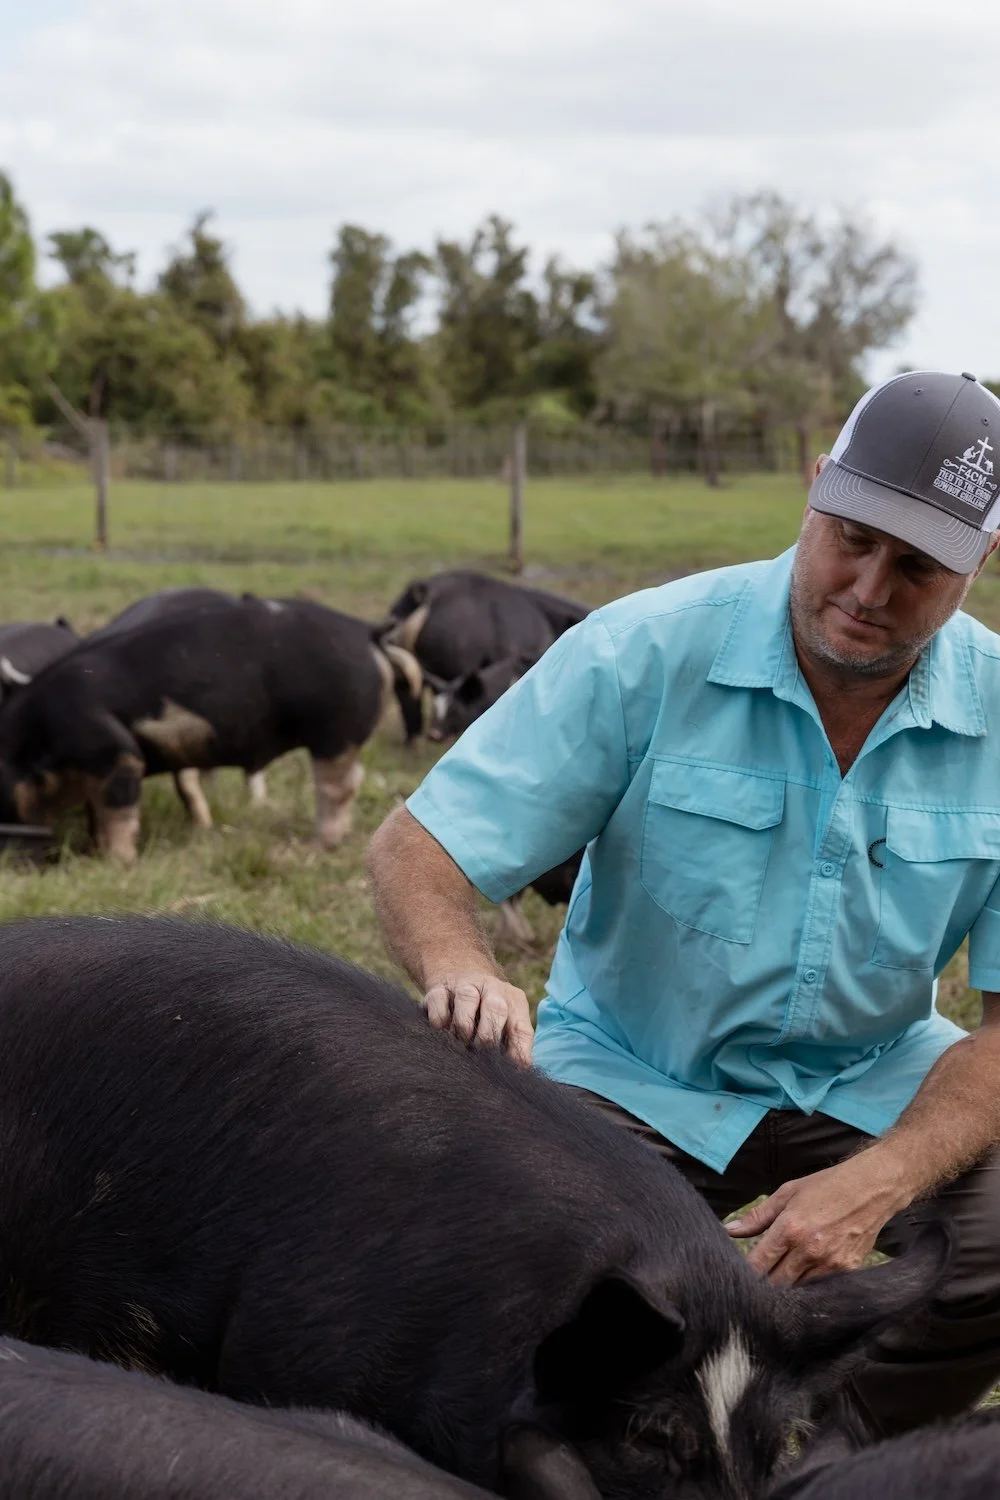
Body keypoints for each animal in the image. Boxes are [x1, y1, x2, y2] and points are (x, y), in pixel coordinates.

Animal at [0, 597, 419, 862]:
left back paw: (318, 847)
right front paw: (95, 852)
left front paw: (117, 862)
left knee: (337, 788)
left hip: (334, 732)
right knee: (355, 781)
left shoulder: (115, 752)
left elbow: (118, 810)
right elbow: (97, 812)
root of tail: (367, 632)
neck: (34, 740)